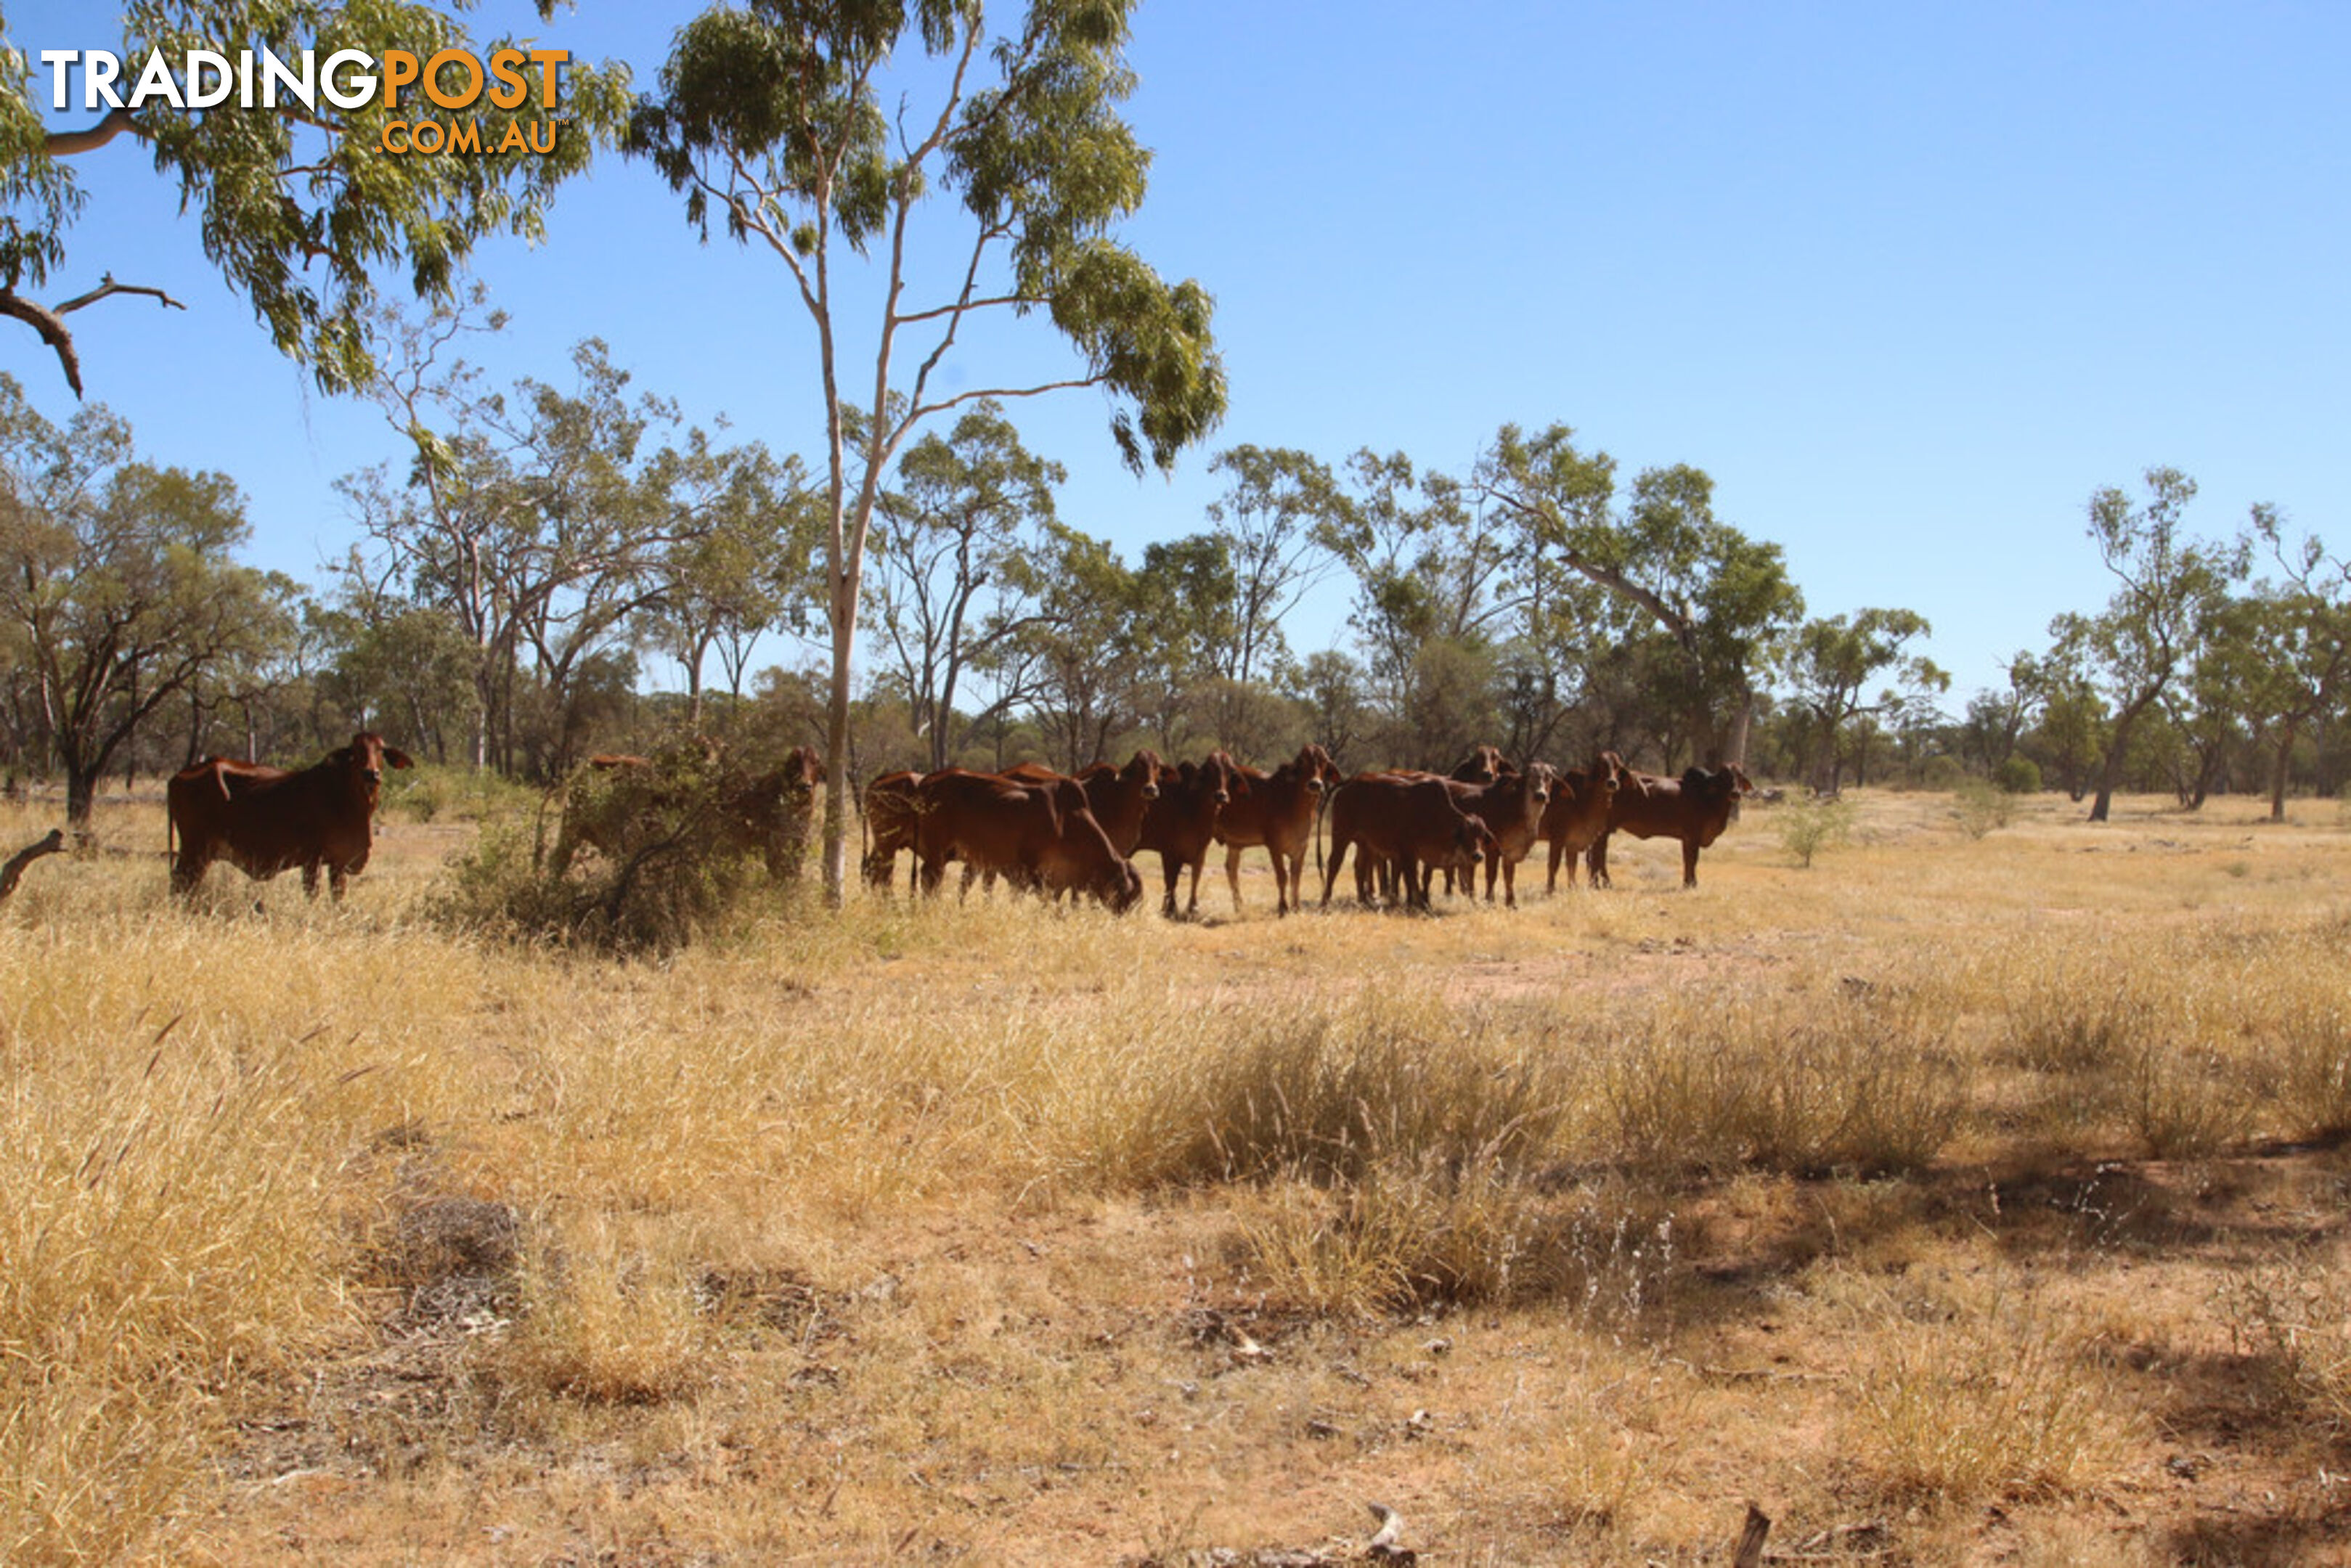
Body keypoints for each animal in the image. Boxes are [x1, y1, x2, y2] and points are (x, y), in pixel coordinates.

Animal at [168, 733, 416, 902]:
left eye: (381, 750)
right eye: (356, 751)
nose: (371, 774)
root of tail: (180, 774)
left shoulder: (339, 863)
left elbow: (338, 899)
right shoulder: (312, 860)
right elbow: (312, 895)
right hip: (195, 850)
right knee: (180, 884)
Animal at [912, 771, 1142, 912]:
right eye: (1126, 895)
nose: (1122, 917)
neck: (1066, 821)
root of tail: (929, 781)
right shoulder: (1028, 871)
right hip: (937, 854)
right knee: (930, 878)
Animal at [1133, 752, 1241, 921]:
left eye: (1230, 771)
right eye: (1209, 771)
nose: (1221, 795)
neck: (1192, 806)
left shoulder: (1200, 851)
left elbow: (1195, 877)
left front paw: (1192, 908)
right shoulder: (1169, 853)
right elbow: (1171, 881)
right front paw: (1169, 909)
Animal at [1213, 747, 1345, 921]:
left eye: (1323, 761)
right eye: (1302, 761)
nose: (1315, 784)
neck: (1296, 805)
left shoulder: (1302, 846)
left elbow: (1296, 877)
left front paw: (1296, 907)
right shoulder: (1274, 846)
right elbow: (1282, 876)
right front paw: (1283, 908)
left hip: (1235, 844)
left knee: (1231, 868)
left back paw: (1239, 907)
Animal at [1589, 761, 1759, 889]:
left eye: (1740, 776)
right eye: (1724, 777)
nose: (1735, 793)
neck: (1707, 796)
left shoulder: (1687, 838)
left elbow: (1688, 860)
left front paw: (1687, 883)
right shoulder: (1693, 836)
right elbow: (1692, 860)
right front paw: (1692, 884)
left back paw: (1596, 884)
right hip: (1603, 830)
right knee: (1598, 855)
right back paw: (1603, 884)